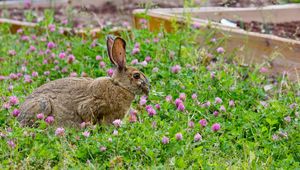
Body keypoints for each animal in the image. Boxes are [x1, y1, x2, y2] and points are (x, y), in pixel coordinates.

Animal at [17, 36, 150, 129]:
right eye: (136, 75)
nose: (148, 88)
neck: (119, 86)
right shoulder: (91, 105)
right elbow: (85, 114)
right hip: (43, 105)